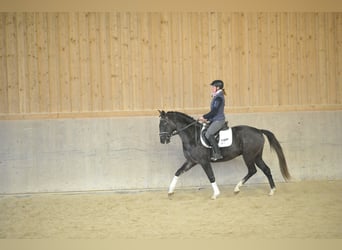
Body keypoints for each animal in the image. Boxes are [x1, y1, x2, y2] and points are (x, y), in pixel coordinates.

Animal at [159, 110, 290, 200]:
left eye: (164, 123)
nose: (162, 140)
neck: (192, 137)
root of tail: (258, 130)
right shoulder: (191, 161)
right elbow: (178, 172)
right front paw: (170, 191)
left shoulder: (204, 161)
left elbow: (211, 176)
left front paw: (215, 194)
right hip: (257, 156)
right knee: (266, 169)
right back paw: (271, 191)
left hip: (248, 156)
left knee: (252, 170)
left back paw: (237, 188)